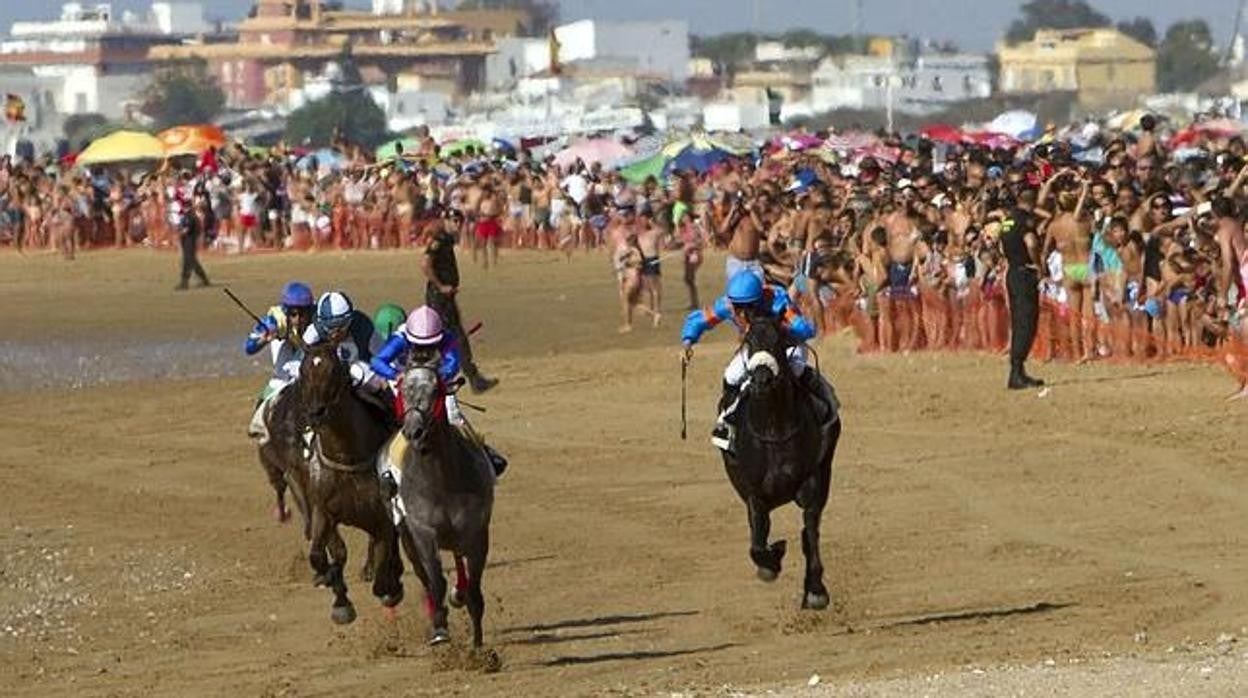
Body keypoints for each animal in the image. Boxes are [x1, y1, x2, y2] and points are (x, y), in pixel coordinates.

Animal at [298, 342, 404, 621]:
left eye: (335, 369)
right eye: (302, 371)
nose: (316, 412)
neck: (347, 457)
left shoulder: (383, 518)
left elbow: (382, 578)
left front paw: (391, 588)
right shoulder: (324, 511)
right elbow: (324, 555)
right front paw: (339, 599)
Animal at [399, 359, 496, 649]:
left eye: (435, 390)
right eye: (404, 390)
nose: (414, 431)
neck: (441, 481)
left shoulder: (476, 532)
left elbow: (474, 590)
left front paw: (477, 645)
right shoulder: (423, 531)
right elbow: (435, 581)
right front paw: (440, 629)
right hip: (407, 536)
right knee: (424, 577)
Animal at [718, 314, 843, 609]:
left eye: (780, 341)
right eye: (749, 341)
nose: (761, 379)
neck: (774, 428)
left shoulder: (811, 483)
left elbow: (810, 531)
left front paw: (816, 591)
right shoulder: (754, 492)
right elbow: (757, 541)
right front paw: (771, 560)